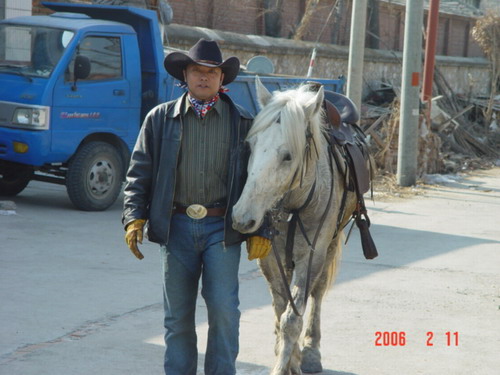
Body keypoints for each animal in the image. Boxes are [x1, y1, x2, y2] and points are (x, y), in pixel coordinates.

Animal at [232, 78, 362, 374]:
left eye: (288, 156)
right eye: (251, 145)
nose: (242, 216)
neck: (294, 204)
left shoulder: (311, 255)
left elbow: (294, 317)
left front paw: (287, 364)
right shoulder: (270, 257)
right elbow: (282, 311)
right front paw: (289, 359)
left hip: (331, 243)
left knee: (318, 293)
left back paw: (312, 351)